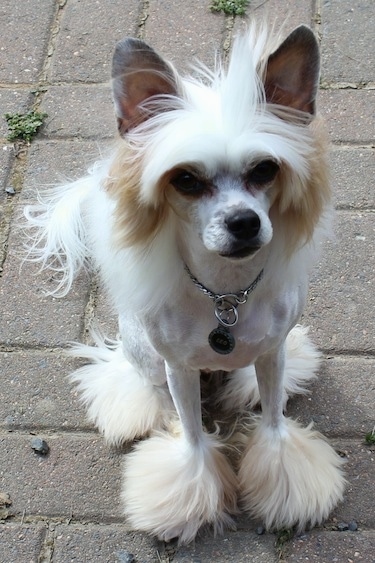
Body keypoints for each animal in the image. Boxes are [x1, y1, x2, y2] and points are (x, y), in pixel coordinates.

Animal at [24, 23, 346, 548]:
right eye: (187, 180)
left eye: (265, 169)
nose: (243, 222)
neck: (226, 295)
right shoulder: (179, 368)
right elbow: (193, 438)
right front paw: (185, 498)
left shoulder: (271, 350)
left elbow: (274, 424)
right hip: (148, 358)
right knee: (152, 389)